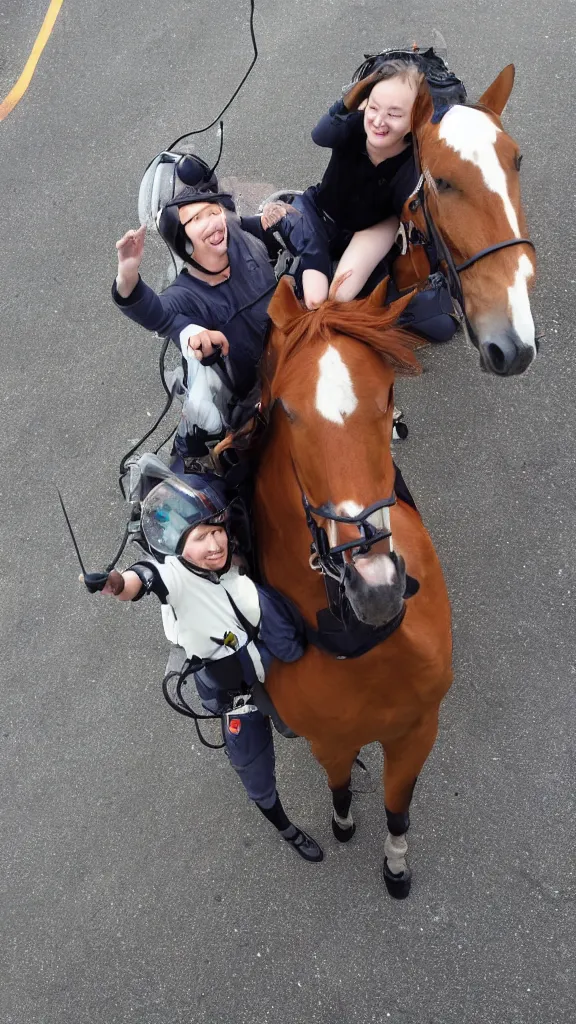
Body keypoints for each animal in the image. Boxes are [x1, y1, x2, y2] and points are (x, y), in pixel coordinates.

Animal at [255, 278, 453, 897]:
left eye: (387, 393)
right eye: (287, 410)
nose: (377, 586)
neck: (364, 647)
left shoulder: (418, 729)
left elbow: (398, 809)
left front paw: (395, 863)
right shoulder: (331, 743)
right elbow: (340, 787)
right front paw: (343, 823)